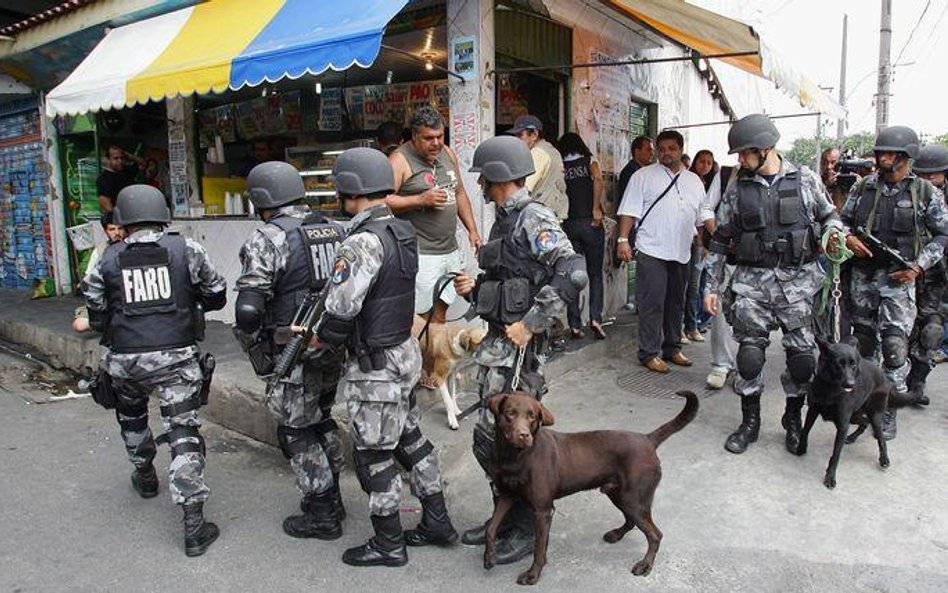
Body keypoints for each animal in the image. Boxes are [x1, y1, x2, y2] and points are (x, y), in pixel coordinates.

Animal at [792, 336, 920, 488]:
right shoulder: (813, 410)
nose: (850, 384)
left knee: (881, 437)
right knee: (864, 422)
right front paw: (800, 448)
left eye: (853, 366)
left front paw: (830, 477)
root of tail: (886, 379)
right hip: (855, 416)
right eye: (838, 364)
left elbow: (836, 454)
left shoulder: (843, 425)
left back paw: (884, 458)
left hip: (874, 416)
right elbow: (805, 430)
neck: (830, 389)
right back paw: (852, 437)